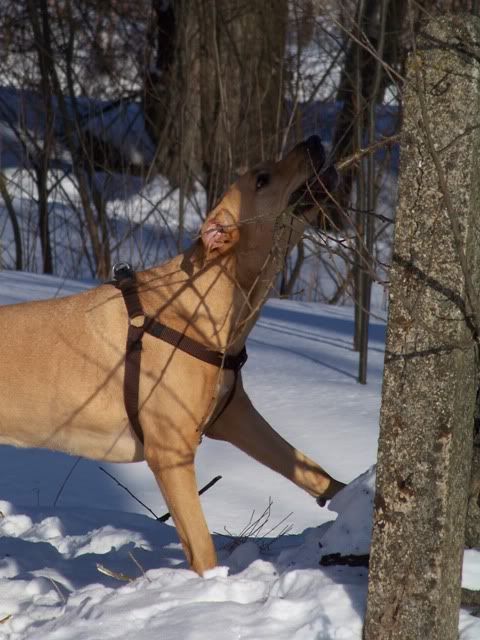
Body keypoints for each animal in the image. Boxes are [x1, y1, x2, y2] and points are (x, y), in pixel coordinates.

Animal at [0, 136, 345, 574]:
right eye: (262, 178)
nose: (314, 139)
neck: (210, 303)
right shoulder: (171, 453)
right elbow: (202, 547)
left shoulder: (236, 416)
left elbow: (309, 468)